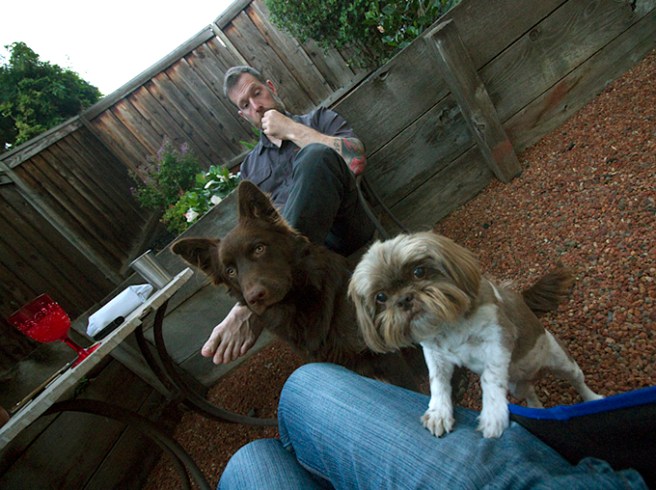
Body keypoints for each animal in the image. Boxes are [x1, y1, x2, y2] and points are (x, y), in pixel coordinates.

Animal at [348, 231, 603, 438]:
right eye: (381, 297)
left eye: (419, 271)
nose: (404, 299)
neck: (447, 326)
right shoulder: (435, 354)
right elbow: (437, 381)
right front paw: (438, 412)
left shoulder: (498, 337)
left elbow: (489, 377)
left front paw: (492, 415)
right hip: (517, 385)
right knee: (530, 392)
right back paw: (537, 408)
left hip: (560, 360)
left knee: (578, 381)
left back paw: (595, 400)